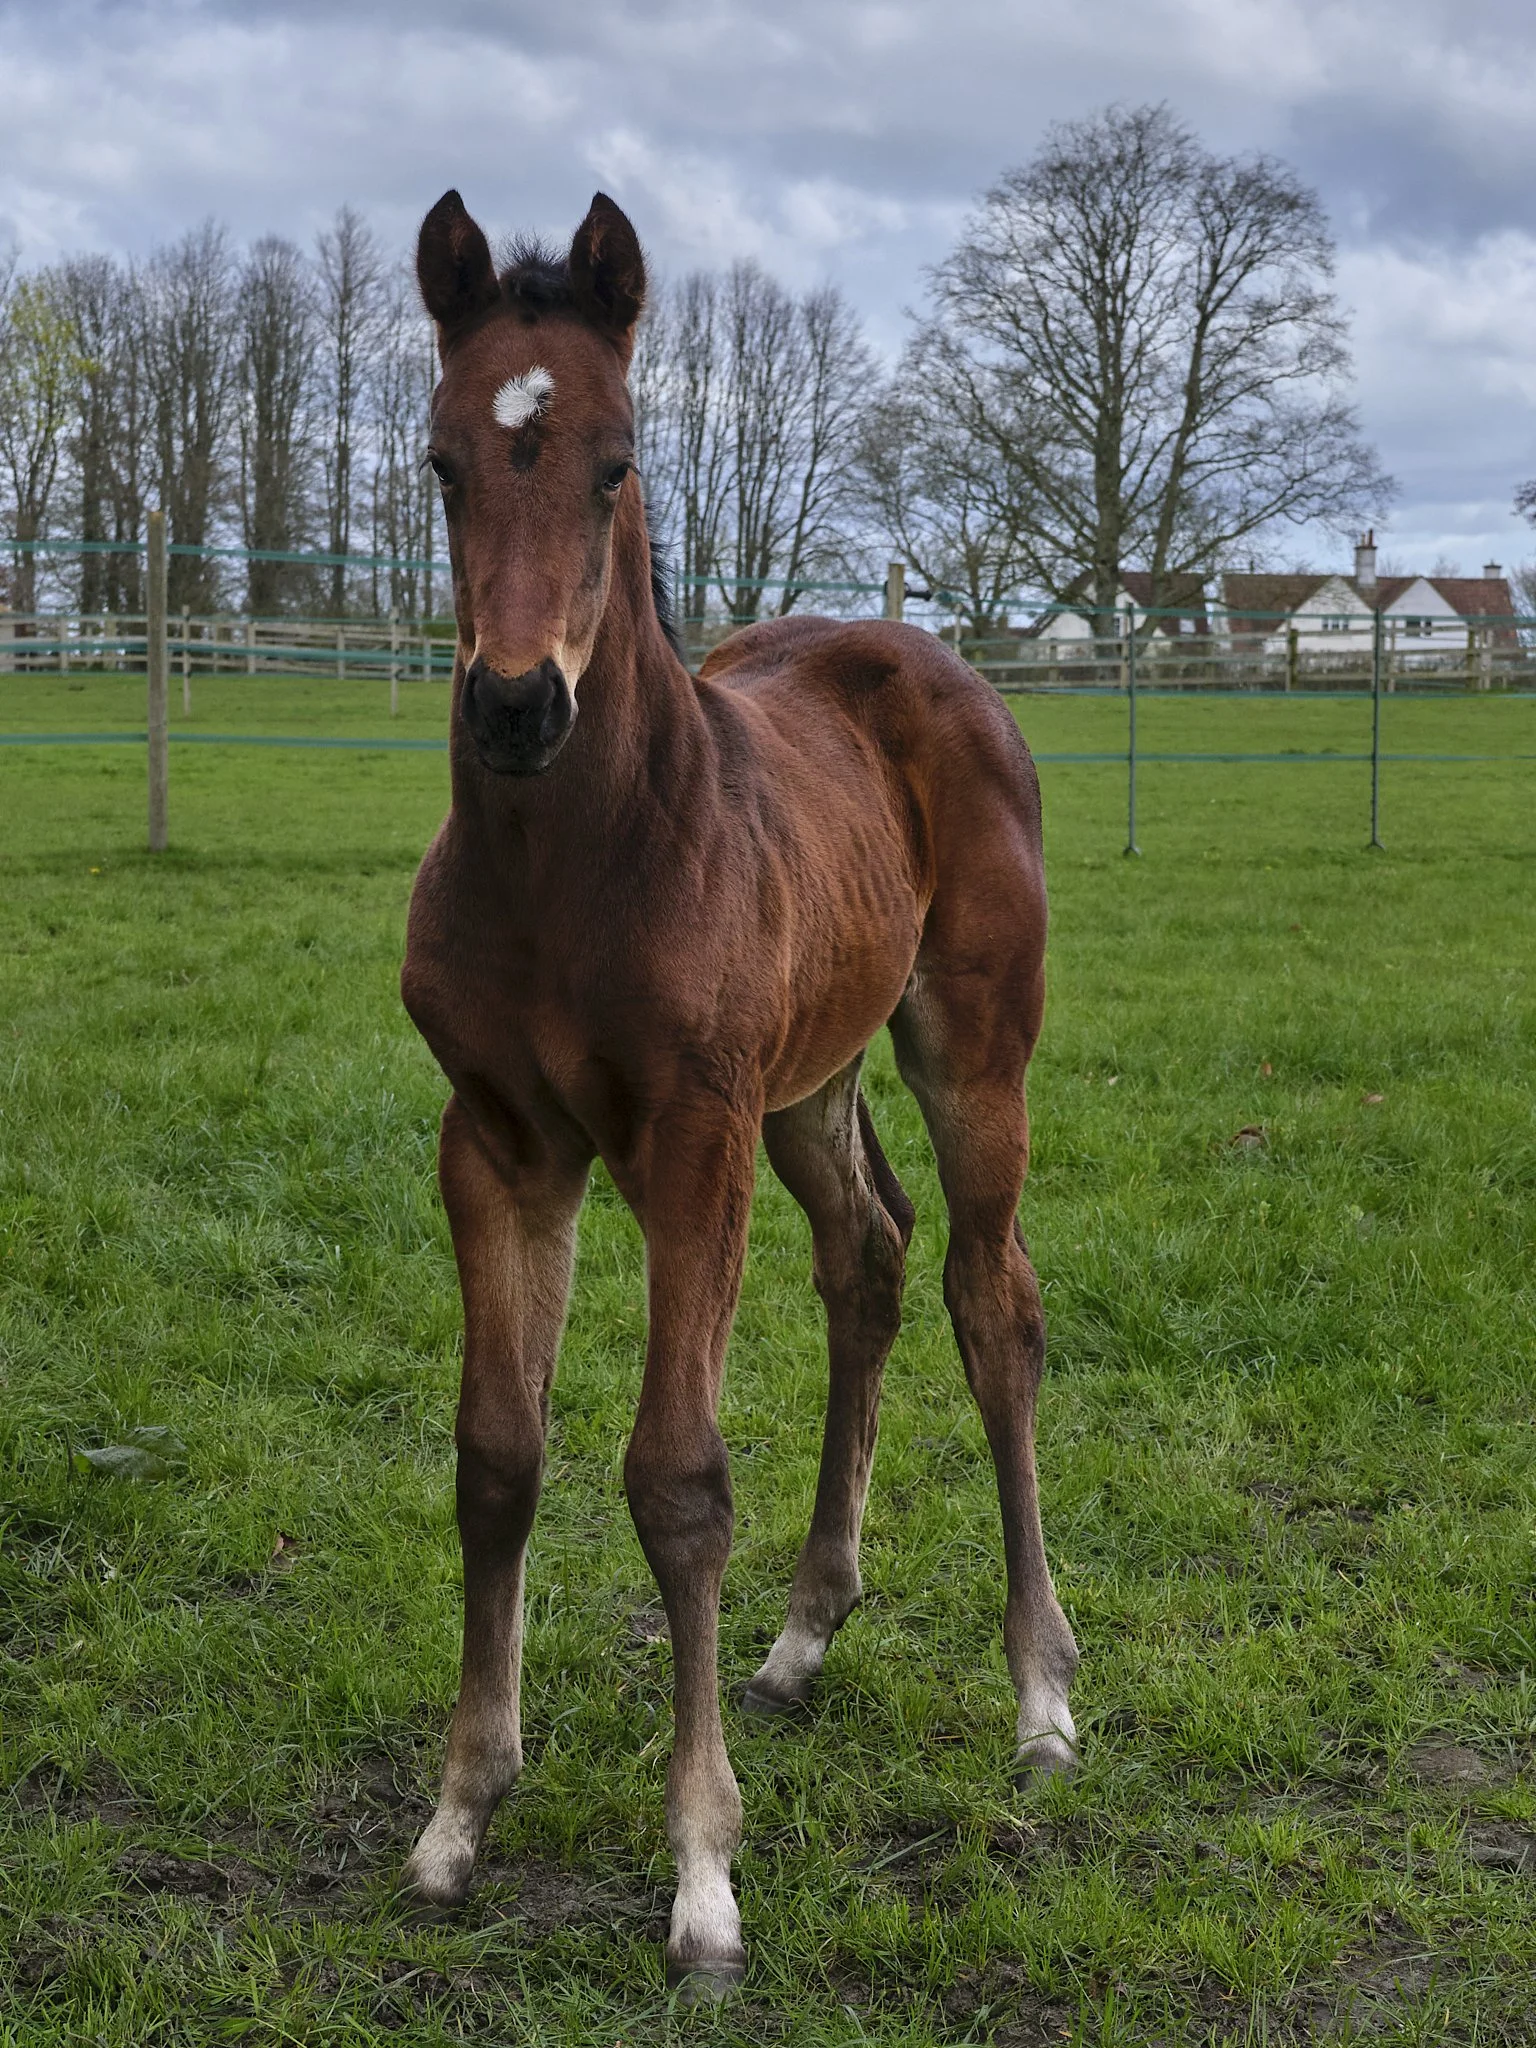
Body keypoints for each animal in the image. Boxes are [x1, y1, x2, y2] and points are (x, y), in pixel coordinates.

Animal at [397, 188, 1080, 1998]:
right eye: (440, 461)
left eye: (619, 463)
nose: (515, 705)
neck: (572, 868)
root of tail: (914, 641)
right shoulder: (501, 1147)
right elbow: (499, 1455)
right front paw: (460, 1814)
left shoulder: (686, 1147)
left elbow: (676, 1479)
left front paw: (704, 1876)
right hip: (809, 1085)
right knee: (870, 1261)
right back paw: (800, 1633)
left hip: (967, 1054)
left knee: (991, 1301)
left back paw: (1041, 1693)